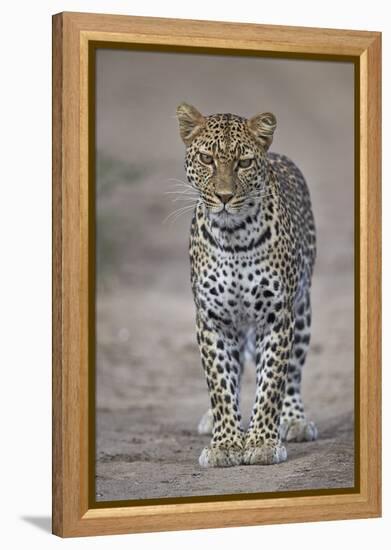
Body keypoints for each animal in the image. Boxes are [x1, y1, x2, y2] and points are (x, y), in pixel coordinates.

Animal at [177, 101, 318, 468]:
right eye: (207, 159)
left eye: (244, 162)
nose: (224, 196)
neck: (234, 236)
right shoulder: (212, 320)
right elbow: (220, 383)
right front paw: (226, 443)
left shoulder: (277, 317)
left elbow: (271, 384)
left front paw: (262, 442)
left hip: (302, 311)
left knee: (293, 374)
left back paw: (293, 421)